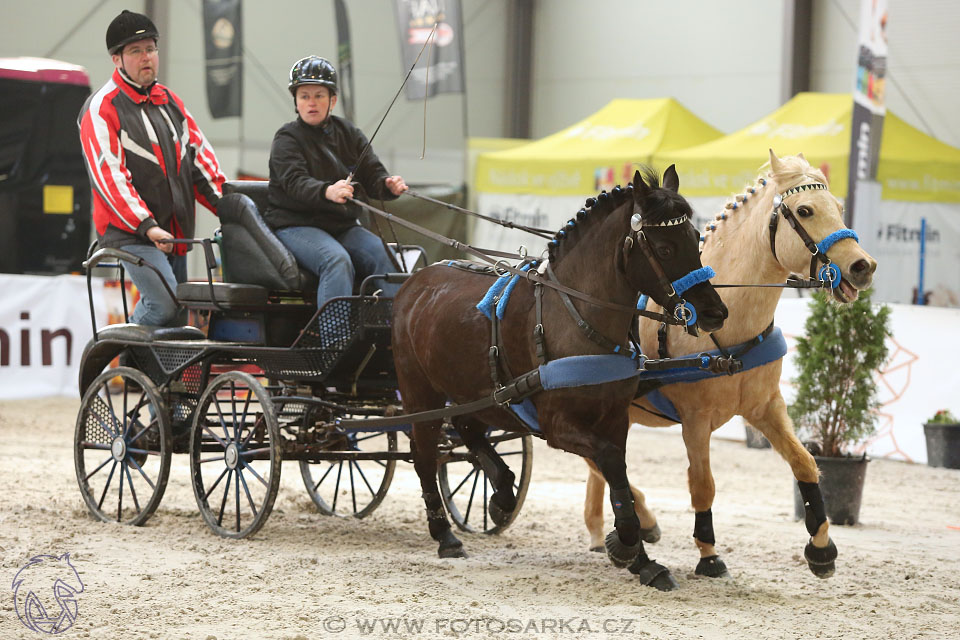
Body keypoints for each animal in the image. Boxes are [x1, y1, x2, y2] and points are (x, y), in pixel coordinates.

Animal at [390, 166, 728, 592]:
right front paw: (627, 543)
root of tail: (416, 280)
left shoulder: (614, 417)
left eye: (695, 240)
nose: (715, 313)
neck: (576, 317)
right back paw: (446, 536)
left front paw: (642, 559)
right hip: (421, 393)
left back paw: (502, 493)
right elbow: (610, 461)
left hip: (474, 390)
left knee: (468, 427)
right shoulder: (557, 425)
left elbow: (618, 474)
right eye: (665, 249)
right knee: (425, 456)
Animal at [576, 150, 876, 580]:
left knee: (596, 462)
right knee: (596, 459)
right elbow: (703, 485)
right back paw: (639, 523)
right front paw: (709, 554)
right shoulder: (696, 420)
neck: (728, 331)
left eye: (838, 206)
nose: (862, 267)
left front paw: (821, 548)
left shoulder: (766, 407)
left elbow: (805, 464)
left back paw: (604, 532)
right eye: (805, 210)